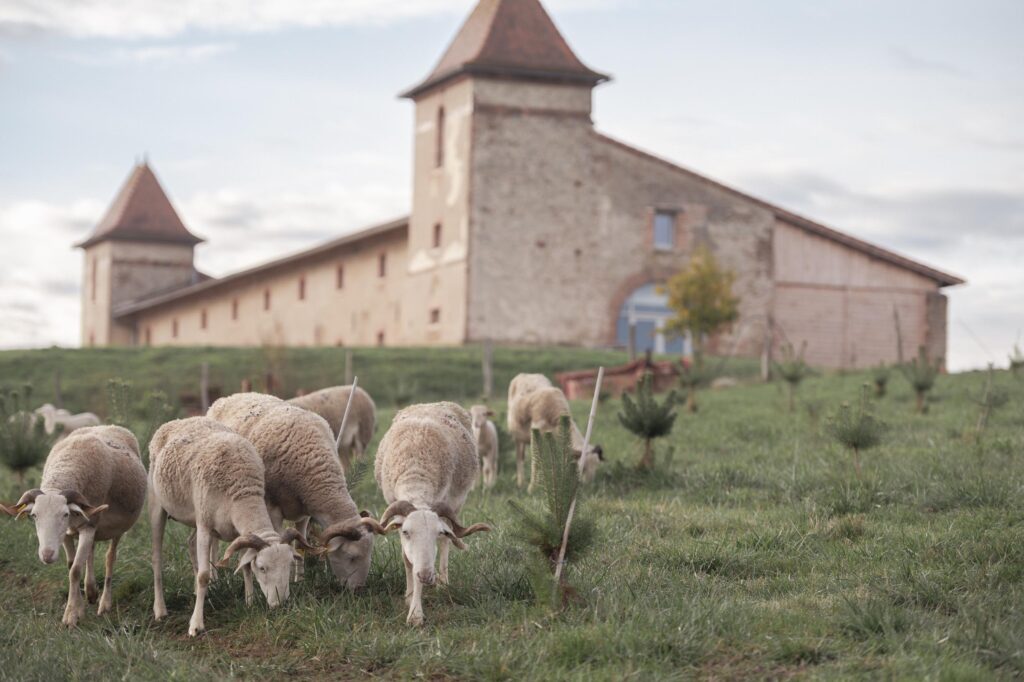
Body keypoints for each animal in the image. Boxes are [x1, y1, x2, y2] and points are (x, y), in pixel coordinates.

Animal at [0, 425, 146, 626]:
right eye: (34, 515)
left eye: (65, 514)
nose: (47, 555)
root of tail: (109, 426)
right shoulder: (68, 534)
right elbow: (72, 566)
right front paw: (79, 608)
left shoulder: (88, 526)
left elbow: (75, 570)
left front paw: (70, 615)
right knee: (90, 552)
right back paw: (91, 591)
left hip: (117, 528)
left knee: (110, 558)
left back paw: (104, 603)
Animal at [144, 417, 311, 634]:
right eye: (263, 568)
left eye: (290, 565)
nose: (280, 604)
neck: (242, 491)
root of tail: (177, 421)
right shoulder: (205, 527)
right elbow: (204, 575)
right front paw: (196, 625)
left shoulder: (239, 533)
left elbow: (245, 565)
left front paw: (249, 602)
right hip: (157, 505)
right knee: (157, 558)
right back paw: (160, 610)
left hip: (195, 514)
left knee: (190, 542)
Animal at [205, 391, 374, 585]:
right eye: (351, 557)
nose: (358, 589)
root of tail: (226, 398)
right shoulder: (273, 510)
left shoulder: (305, 512)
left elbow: (300, 544)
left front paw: (299, 580)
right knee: (213, 541)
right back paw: (214, 576)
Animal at [358, 401, 489, 622]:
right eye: (406, 532)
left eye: (436, 532)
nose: (428, 577)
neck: (416, 471)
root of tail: (432, 403)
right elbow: (408, 561)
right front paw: (409, 596)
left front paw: (416, 614)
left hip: (456, 501)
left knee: (446, 544)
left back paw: (443, 583)